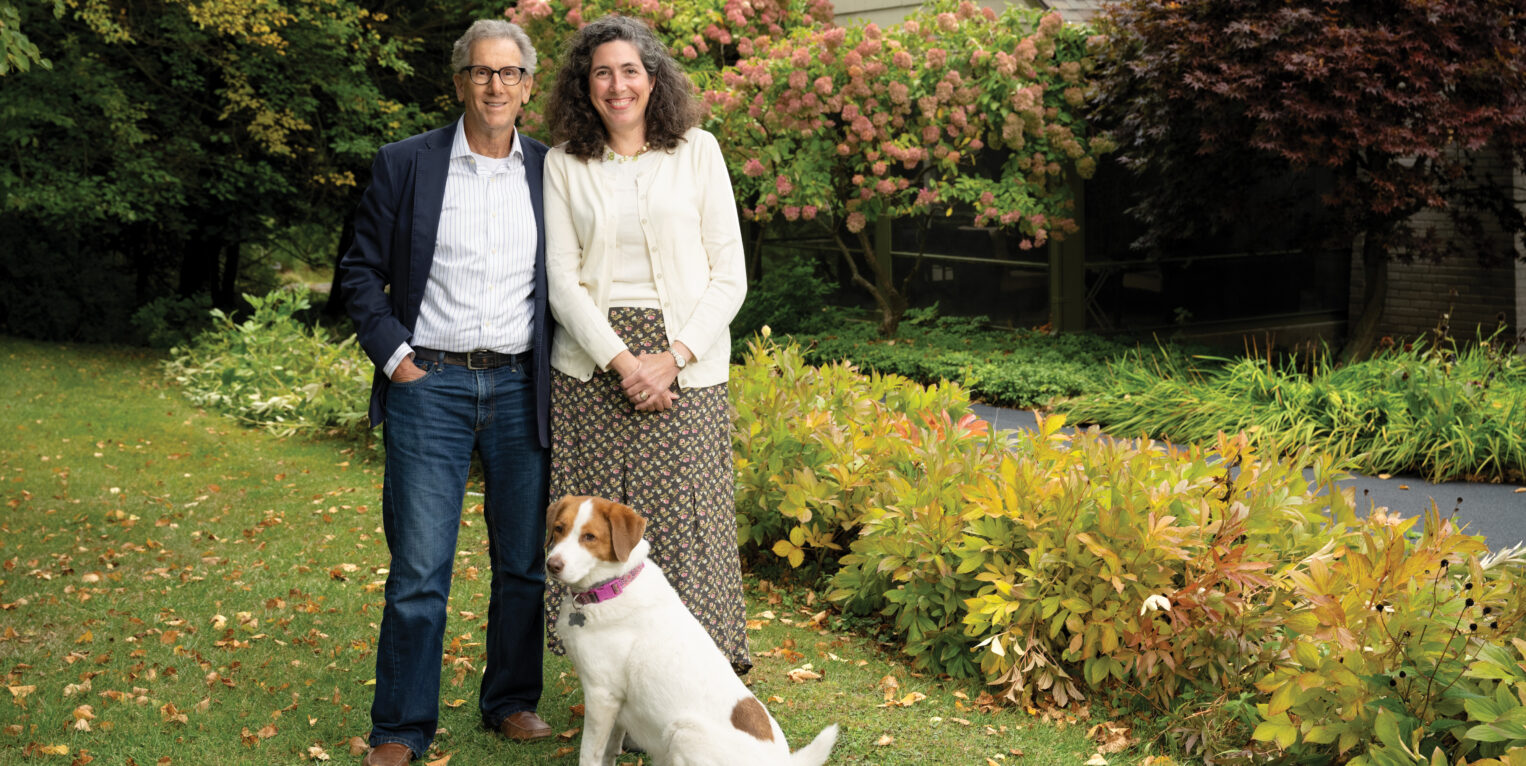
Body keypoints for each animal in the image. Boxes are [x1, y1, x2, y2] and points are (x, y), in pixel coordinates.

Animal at [546, 494, 842, 762]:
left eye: (590, 537)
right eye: (559, 528)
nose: (551, 565)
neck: (611, 587)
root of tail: (784, 762)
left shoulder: (602, 695)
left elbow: (590, 755)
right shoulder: (617, 705)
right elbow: (609, 752)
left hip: (683, 733)